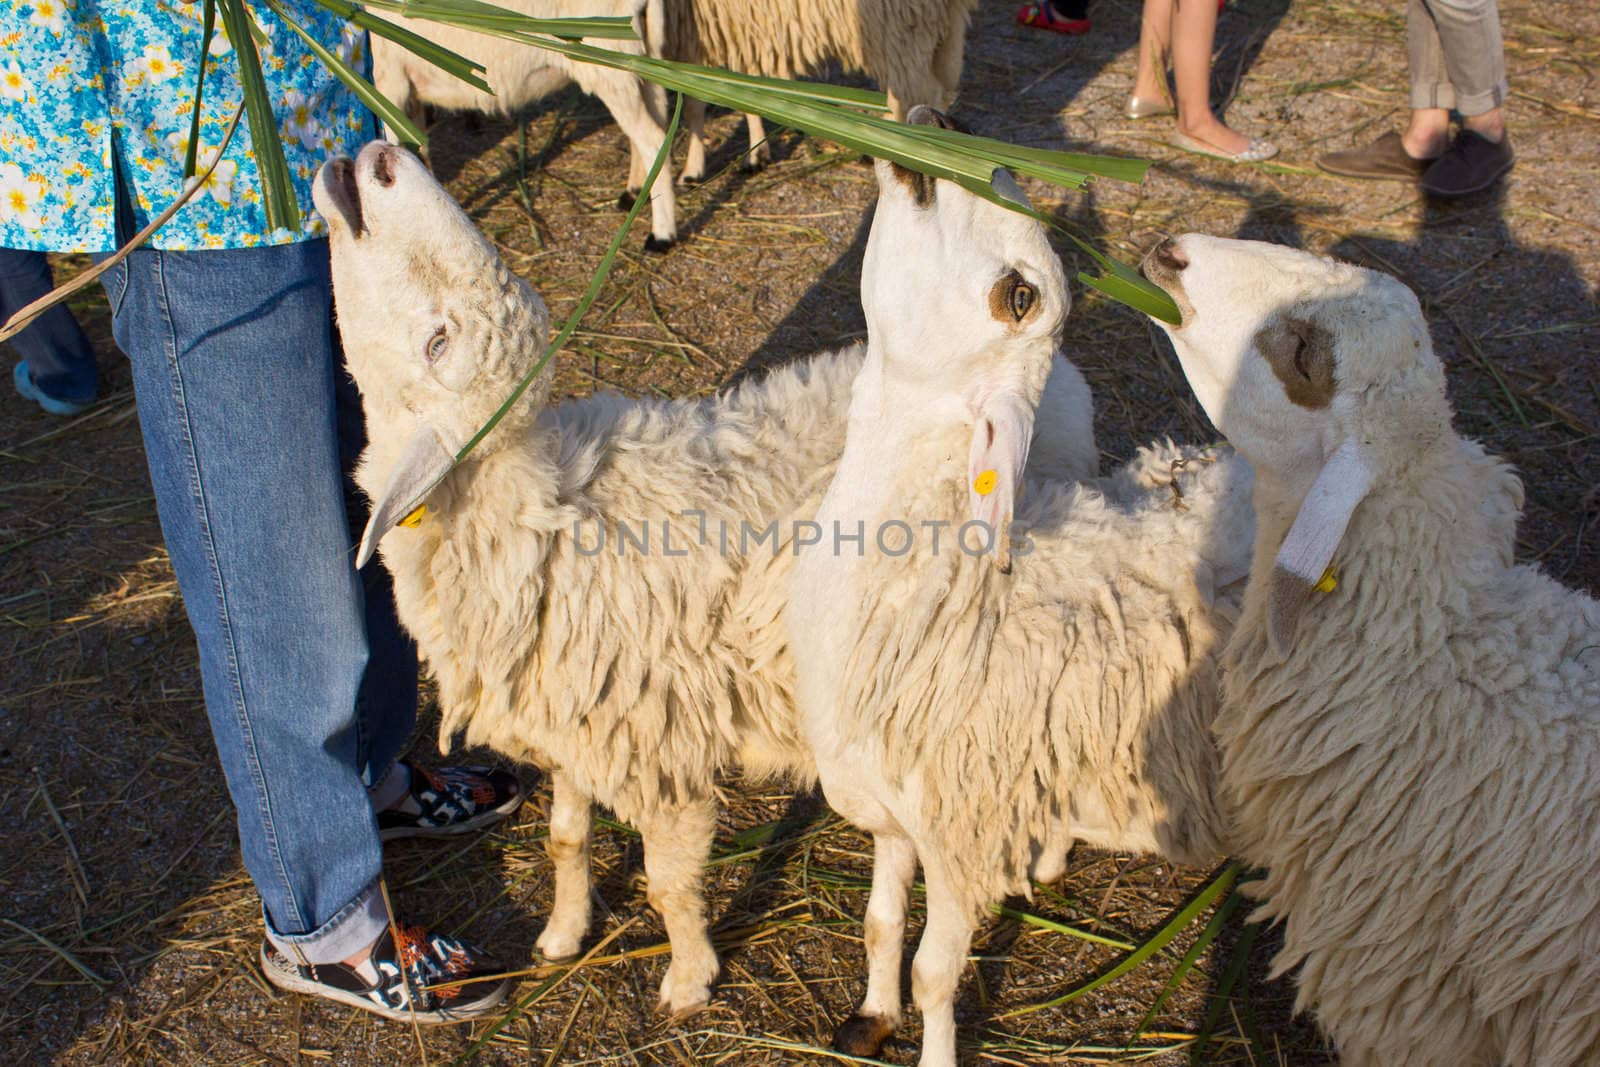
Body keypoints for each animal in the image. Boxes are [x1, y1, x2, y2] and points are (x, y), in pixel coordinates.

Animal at [305, 141, 1094, 1017]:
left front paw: (688, 978)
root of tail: (1064, 383)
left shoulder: (659, 747)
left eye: (439, 341)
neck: (540, 523)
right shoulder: (573, 728)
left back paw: (1046, 858)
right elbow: (566, 837)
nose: (381, 156)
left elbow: (667, 882)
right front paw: (562, 933)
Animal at [369, 0, 681, 251]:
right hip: (641, 61)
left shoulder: (389, 82)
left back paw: (662, 236)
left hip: (608, 64)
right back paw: (635, 193)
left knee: (652, 139)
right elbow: (418, 155)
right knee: (655, 125)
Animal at [643, 0, 979, 178]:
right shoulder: (733, 27)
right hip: (939, 27)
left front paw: (685, 171)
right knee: (937, 92)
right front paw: (757, 153)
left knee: (917, 94)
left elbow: (691, 102)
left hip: (897, 29)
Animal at [780, 110, 1254, 1067]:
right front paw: (869, 1015)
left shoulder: (962, 832)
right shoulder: (895, 817)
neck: (939, 597)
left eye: (1019, 295)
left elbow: (934, 972)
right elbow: (880, 923)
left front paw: (928, 1044)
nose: (938, 126)